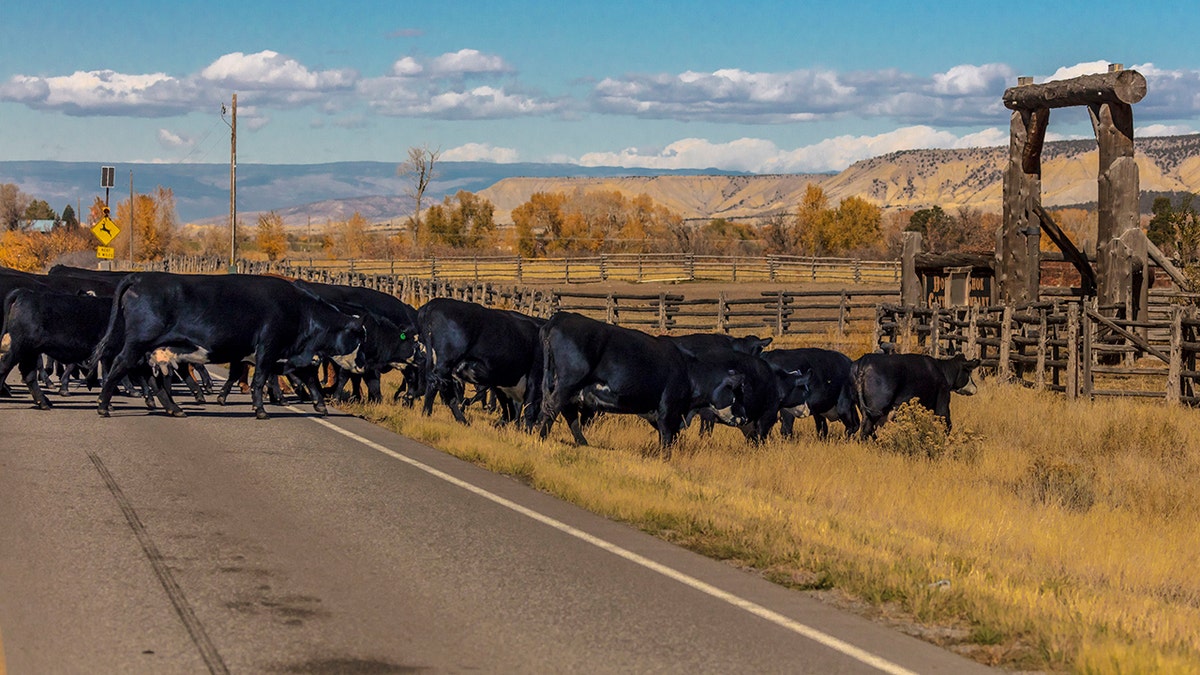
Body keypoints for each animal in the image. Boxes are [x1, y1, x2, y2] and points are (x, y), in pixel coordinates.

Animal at [91, 270, 362, 417]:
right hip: (138, 344)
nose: (360, 366)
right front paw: (261, 410)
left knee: (153, 379)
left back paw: (175, 408)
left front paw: (321, 406)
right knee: (119, 366)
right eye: (359, 336)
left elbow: (310, 379)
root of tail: (139, 277)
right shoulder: (268, 349)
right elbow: (260, 379)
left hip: (155, 351)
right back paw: (103, 406)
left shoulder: (293, 356)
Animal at [849, 348, 979, 439]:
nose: (975, 388)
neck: (942, 370)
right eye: (969, 371)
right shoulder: (942, 400)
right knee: (867, 430)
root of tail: (864, 361)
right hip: (877, 408)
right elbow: (946, 423)